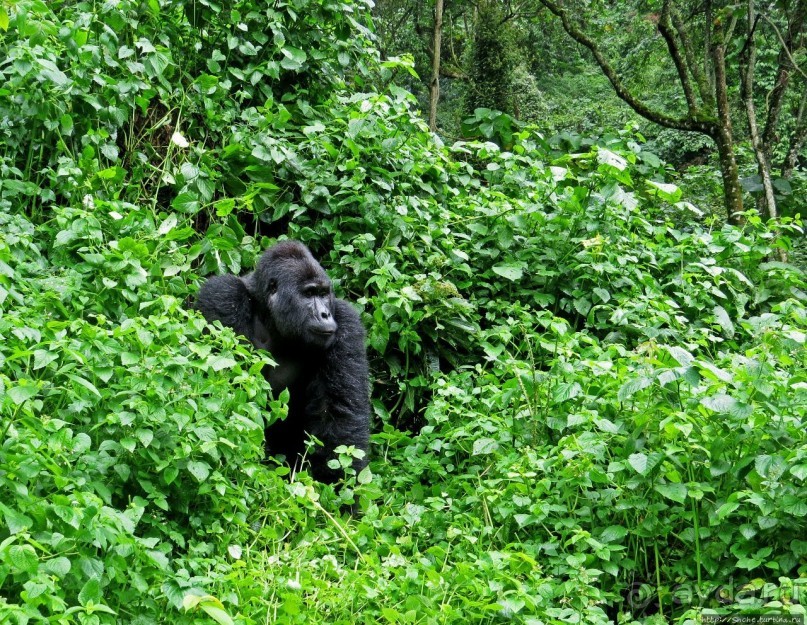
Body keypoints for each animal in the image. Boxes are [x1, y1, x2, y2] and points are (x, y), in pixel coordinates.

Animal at [196, 240, 372, 482]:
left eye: (323, 294)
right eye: (309, 294)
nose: (325, 314)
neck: (270, 316)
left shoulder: (346, 320)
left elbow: (339, 417)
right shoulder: (222, 295)